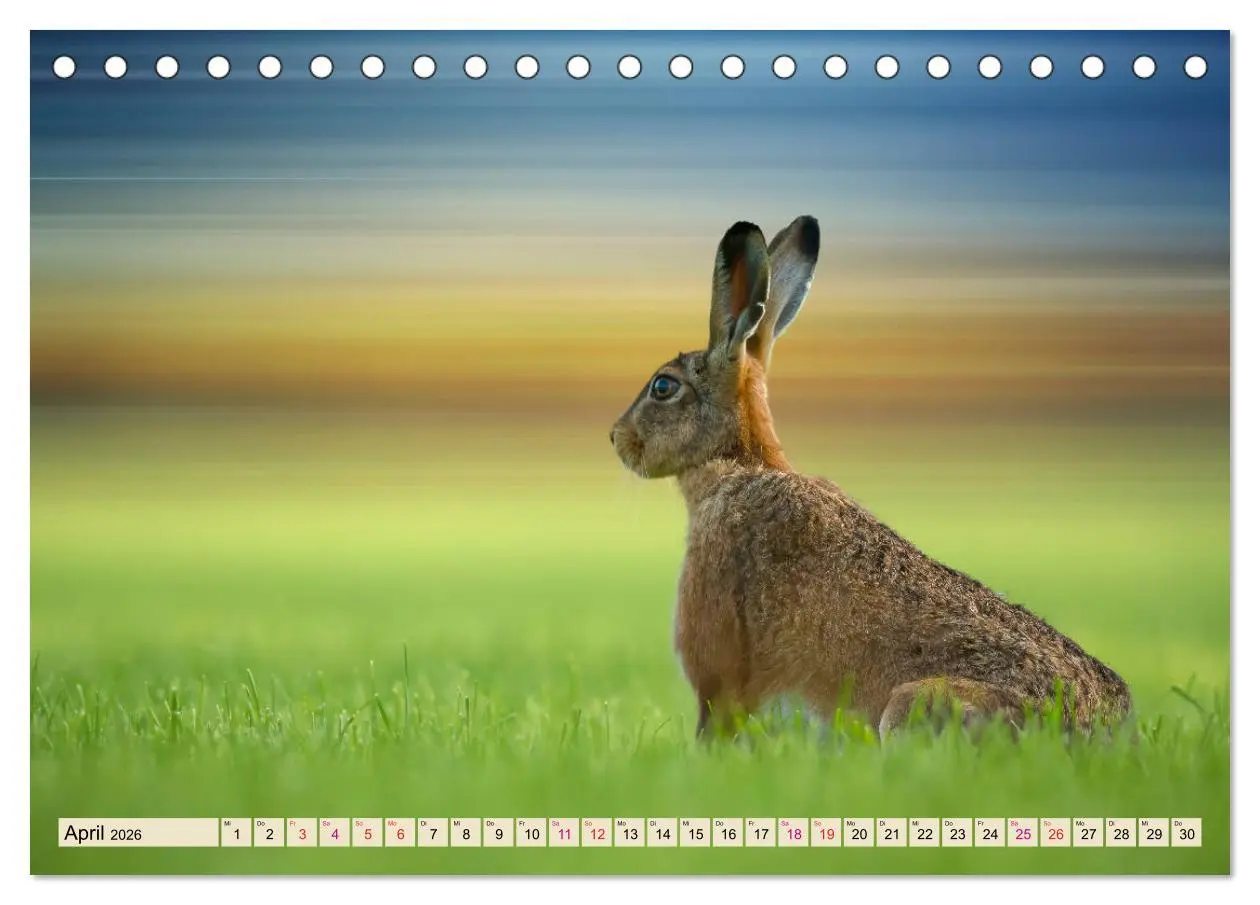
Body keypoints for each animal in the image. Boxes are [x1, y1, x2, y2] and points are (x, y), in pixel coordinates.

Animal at [609, 216, 1132, 741]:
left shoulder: (718, 667)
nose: (616, 437)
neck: (737, 465)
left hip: (912, 705)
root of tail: (1096, 729)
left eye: (663, 386)